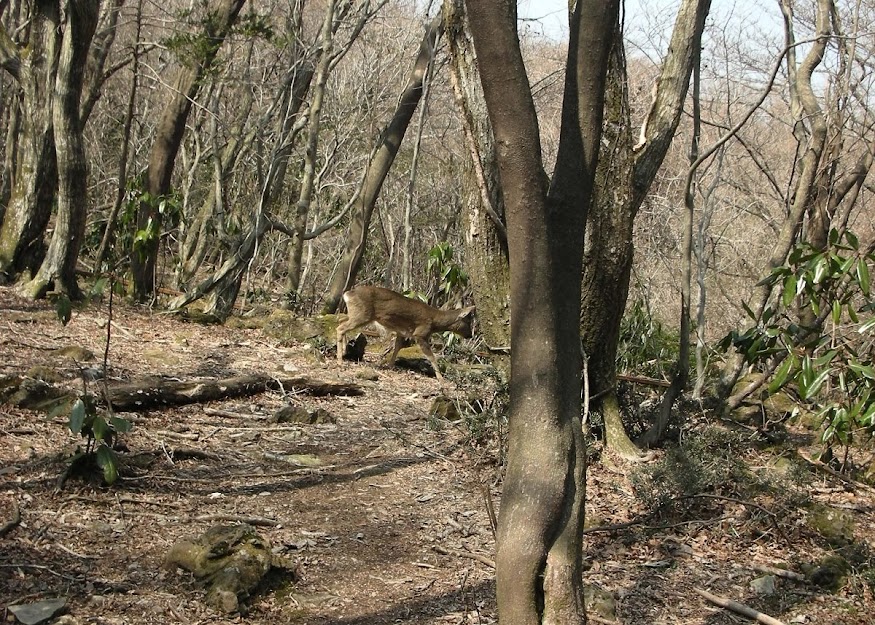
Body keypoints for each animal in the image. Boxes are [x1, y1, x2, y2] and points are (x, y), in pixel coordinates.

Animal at [336, 284, 476, 380]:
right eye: (467, 322)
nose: (470, 335)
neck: (435, 321)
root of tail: (348, 294)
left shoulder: (402, 332)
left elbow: (397, 347)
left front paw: (390, 365)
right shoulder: (421, 333)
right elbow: (431, 356)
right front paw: (441, 379)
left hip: (356, 313)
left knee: (340, 319)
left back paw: (344, 350)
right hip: (363, 314)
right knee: (341, 327)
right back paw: (340, 360)